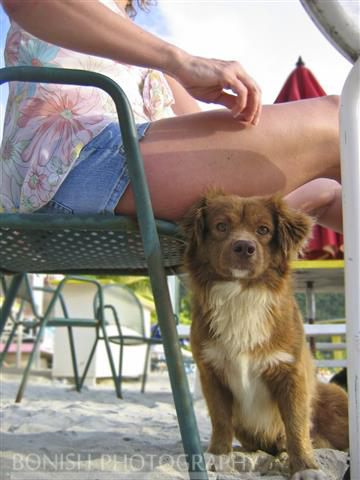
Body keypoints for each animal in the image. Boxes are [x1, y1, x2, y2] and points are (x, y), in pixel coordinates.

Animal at [181, 191, 348, 480]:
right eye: (221, 226)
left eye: (263, 230)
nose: (244, 247)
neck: (241, 294)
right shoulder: (211, 372)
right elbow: (221, 419)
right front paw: (219, 455)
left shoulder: (291, 372)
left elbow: (295, 424)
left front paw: (306, 466)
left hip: (336, 396)